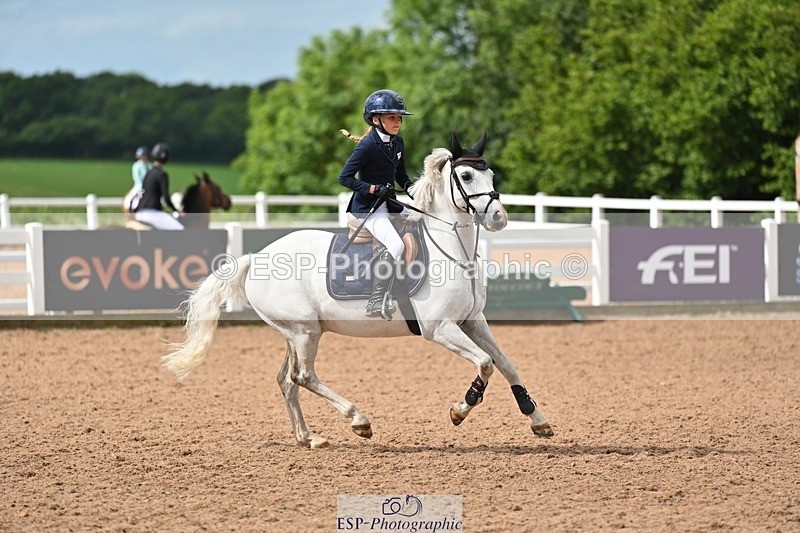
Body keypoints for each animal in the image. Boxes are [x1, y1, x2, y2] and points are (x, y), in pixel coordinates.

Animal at [162, 133, 554, 448]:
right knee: (304, 377)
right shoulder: (440, 328)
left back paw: (309, 438)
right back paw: (358, 421)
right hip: (305, 332)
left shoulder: (473, 321)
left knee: (287, 380)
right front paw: (460, 409)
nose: (499, 218)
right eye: (467, 175)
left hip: (295, 333)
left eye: (491, 174)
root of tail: (255, 257)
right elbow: (486, 364)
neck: (451, 248)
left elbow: (506, 363)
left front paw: (537, 420)